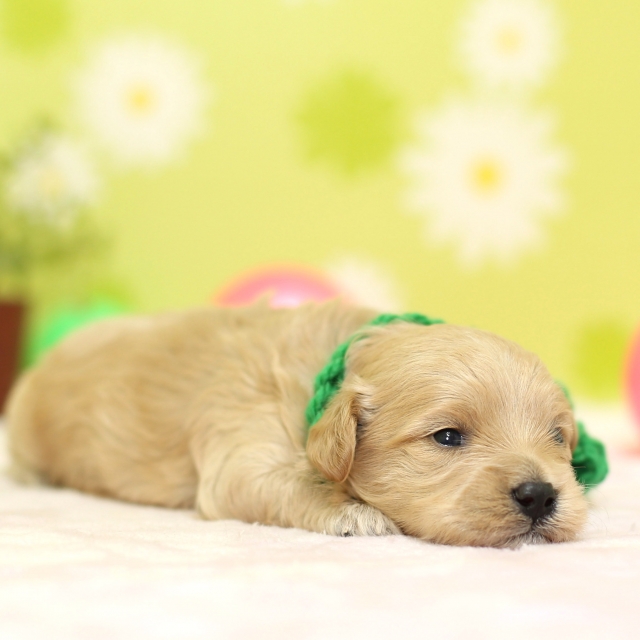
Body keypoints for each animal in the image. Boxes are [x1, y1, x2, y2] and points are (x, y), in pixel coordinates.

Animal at [6, 300, 588, 547]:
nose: (541, 495)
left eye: (557, 436)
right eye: (447, 437)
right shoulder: (242, 451)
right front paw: (355, 513)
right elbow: (289, 483)